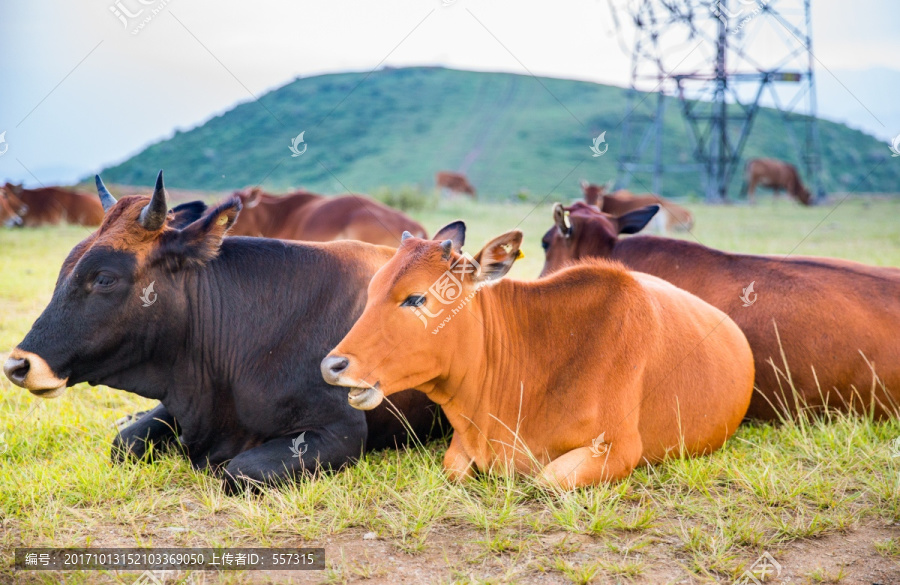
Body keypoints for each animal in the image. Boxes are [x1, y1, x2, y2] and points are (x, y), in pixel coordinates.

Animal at [320, 221, 756, 486]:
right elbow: (455, 468)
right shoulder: (461, 447)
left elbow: (547, 480)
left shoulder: (617, 449)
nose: (333, 365)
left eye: (416, 298)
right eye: (372, 289)